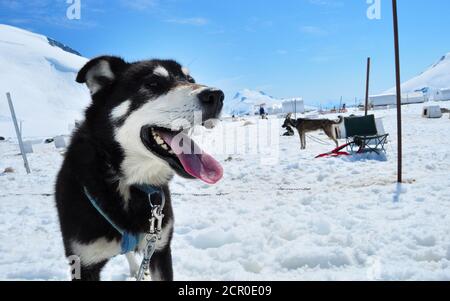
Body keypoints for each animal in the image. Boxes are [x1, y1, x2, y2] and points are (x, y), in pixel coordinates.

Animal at [55, 55, 224, 278]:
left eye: (190, 79)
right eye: (153, 83)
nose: (217, 95)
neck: (124, 182)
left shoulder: (160, 247)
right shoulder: (83, 263)